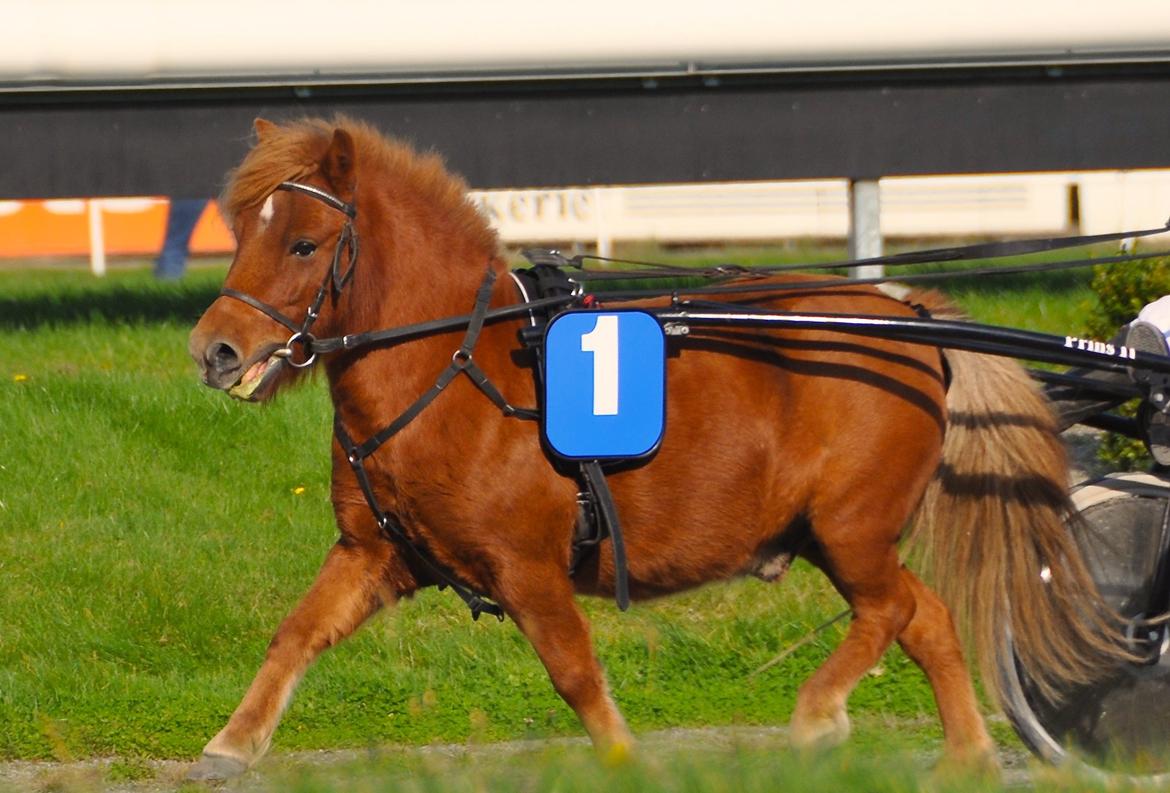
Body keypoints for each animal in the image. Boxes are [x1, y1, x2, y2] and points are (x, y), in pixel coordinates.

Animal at [189, 119, 1123, 781]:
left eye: (304, 242)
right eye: (241, 231)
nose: (214, 350)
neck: (457, 366)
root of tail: (907, 318)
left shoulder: (529, 566)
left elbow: (574, 673)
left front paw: (626, 760)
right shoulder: (374, 551)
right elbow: (296, 633)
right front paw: (230, 743)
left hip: (851, 524)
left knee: (892, 609)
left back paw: (819, 713)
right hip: (838, 535)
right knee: (924, 617)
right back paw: (965, 755)